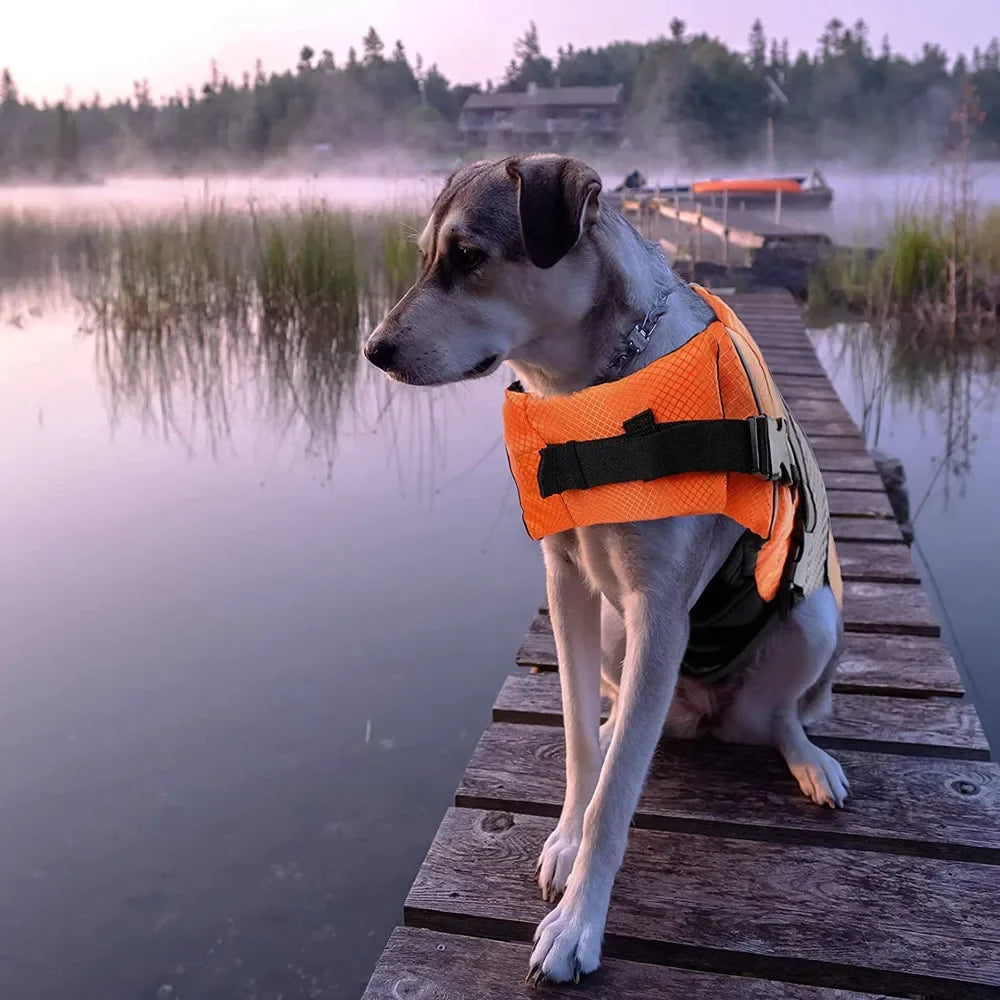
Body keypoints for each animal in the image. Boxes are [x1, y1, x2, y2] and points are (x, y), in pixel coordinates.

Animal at [364, 154, 848, 984]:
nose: (374, 349)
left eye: (468, 257)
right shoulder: (569, 585)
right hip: (623, 635)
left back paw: (808, 758)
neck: (584, 396)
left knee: (780, 717)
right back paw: (621, 716)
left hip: (811, 616)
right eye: (427, 255)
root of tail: (705, 711)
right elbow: (584, 750)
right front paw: (565, 838)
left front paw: (578, 925)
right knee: (625, 712)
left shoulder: (659, 608)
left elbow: (616, 793)